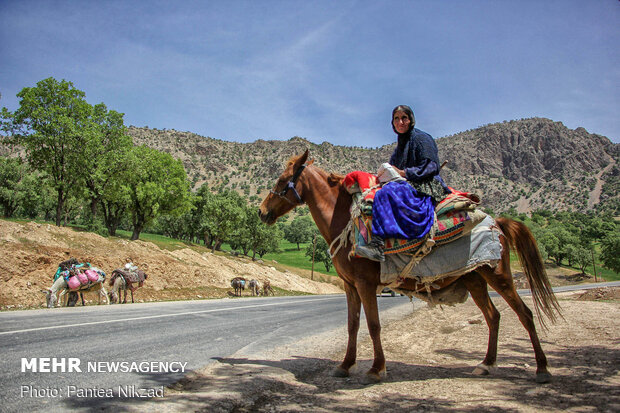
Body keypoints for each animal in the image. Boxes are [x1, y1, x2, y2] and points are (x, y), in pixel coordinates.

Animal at [258, 149, 560, 384]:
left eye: (282, 180)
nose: (261, 212)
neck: (344, 220)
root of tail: (498, 223)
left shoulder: (366, 284)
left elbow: (374, 325)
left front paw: (376, 369)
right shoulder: (350, 286)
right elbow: (352, 325)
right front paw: (345, 366)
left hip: (499, 275)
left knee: (525, 314)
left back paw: (542, 369)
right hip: (475, 280)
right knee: (493, 316)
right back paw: (486, 364)